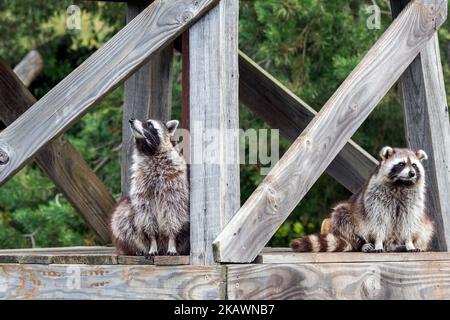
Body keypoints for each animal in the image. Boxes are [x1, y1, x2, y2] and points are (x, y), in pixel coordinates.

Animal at [110, 119, 189, 256]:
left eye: (149, 124)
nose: (131, 120)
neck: (149, 152)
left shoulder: (175, 186)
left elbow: (173, 213)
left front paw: (172, 240)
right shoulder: (142, 189)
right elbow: (147, 216)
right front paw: (152, 242)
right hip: (126, 211)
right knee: (121, 219)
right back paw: (135, 248)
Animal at [290, 146, 434, 254]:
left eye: (414, 165)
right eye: (401, 164)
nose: (412, 173)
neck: (400, 183)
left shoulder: (413, 202)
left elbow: (409, 221)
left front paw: (409, 242)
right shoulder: (376, 198)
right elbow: (378, 221)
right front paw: (378, 242)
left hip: (422, 227)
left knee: (423, 231)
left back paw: (399, 246)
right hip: (347, 215)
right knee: (343, 218)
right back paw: (362, 244)